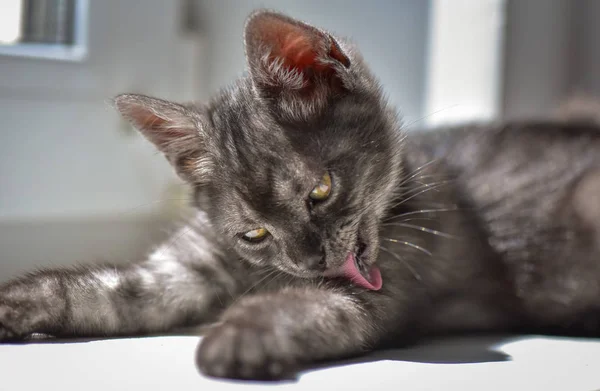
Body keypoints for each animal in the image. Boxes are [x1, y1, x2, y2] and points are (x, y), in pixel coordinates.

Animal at [1, 9, 600, 382]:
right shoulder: (185, 267)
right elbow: (110, 290)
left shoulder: (375, 293)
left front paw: (240, 334)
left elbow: (305, 306)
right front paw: (18, 302)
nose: (310, 262)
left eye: (321, 190)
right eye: (254, 232)